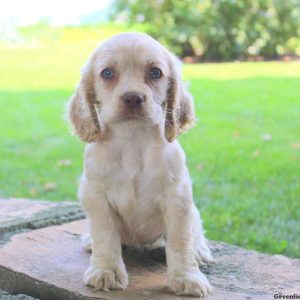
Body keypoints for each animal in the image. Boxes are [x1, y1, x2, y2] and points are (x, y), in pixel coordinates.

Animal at [68, 32, 213, 296]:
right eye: (107, 73)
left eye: (155, 72)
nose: (133, 98)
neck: (133, 140)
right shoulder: (95, 195)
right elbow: (105, 235)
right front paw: (106, 271)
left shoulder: (177, 196)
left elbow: (181, 239)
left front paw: (187, 277)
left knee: (195, 230)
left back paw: (200, 249)